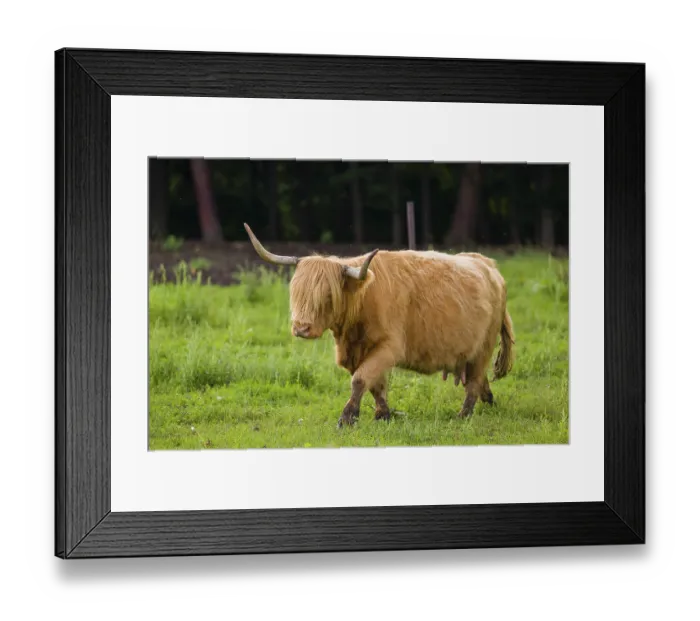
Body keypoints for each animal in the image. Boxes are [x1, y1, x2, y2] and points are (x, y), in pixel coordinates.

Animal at [243, 223, 515, 428]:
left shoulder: (389, 347)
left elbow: (360, 379)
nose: (301, 328)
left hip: (484, 346)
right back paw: (488, 400)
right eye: (297, 291)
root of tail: (489, 265)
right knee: (477, 379)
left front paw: (347, 418)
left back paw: (463, 415)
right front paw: (383, 414)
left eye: (328, 295)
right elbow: (376, 385)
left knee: (474, 381)